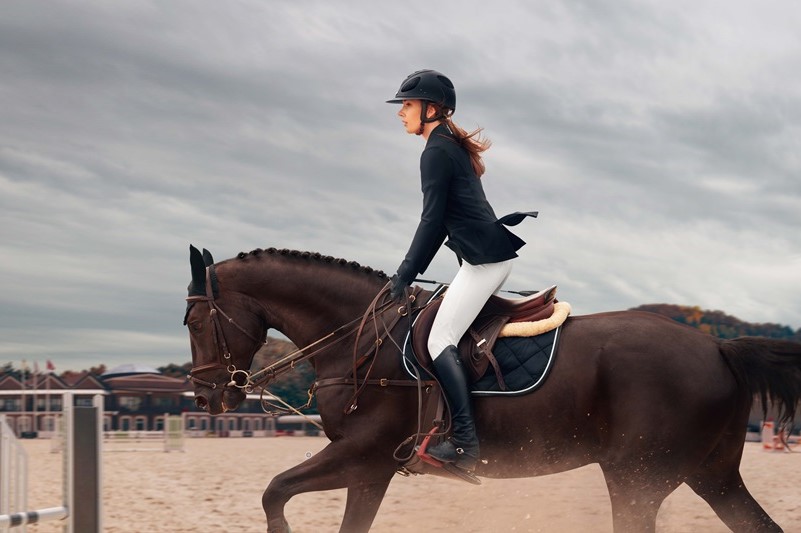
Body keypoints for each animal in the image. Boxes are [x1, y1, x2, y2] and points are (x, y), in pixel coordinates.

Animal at [183, 245, 800, 532]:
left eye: (191, 321)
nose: (209, 399)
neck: (360, 337)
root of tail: (718, 347)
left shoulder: (363, 454)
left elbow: (274, 491)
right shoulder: (371, 471)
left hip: (637, 479)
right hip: (710, 475)